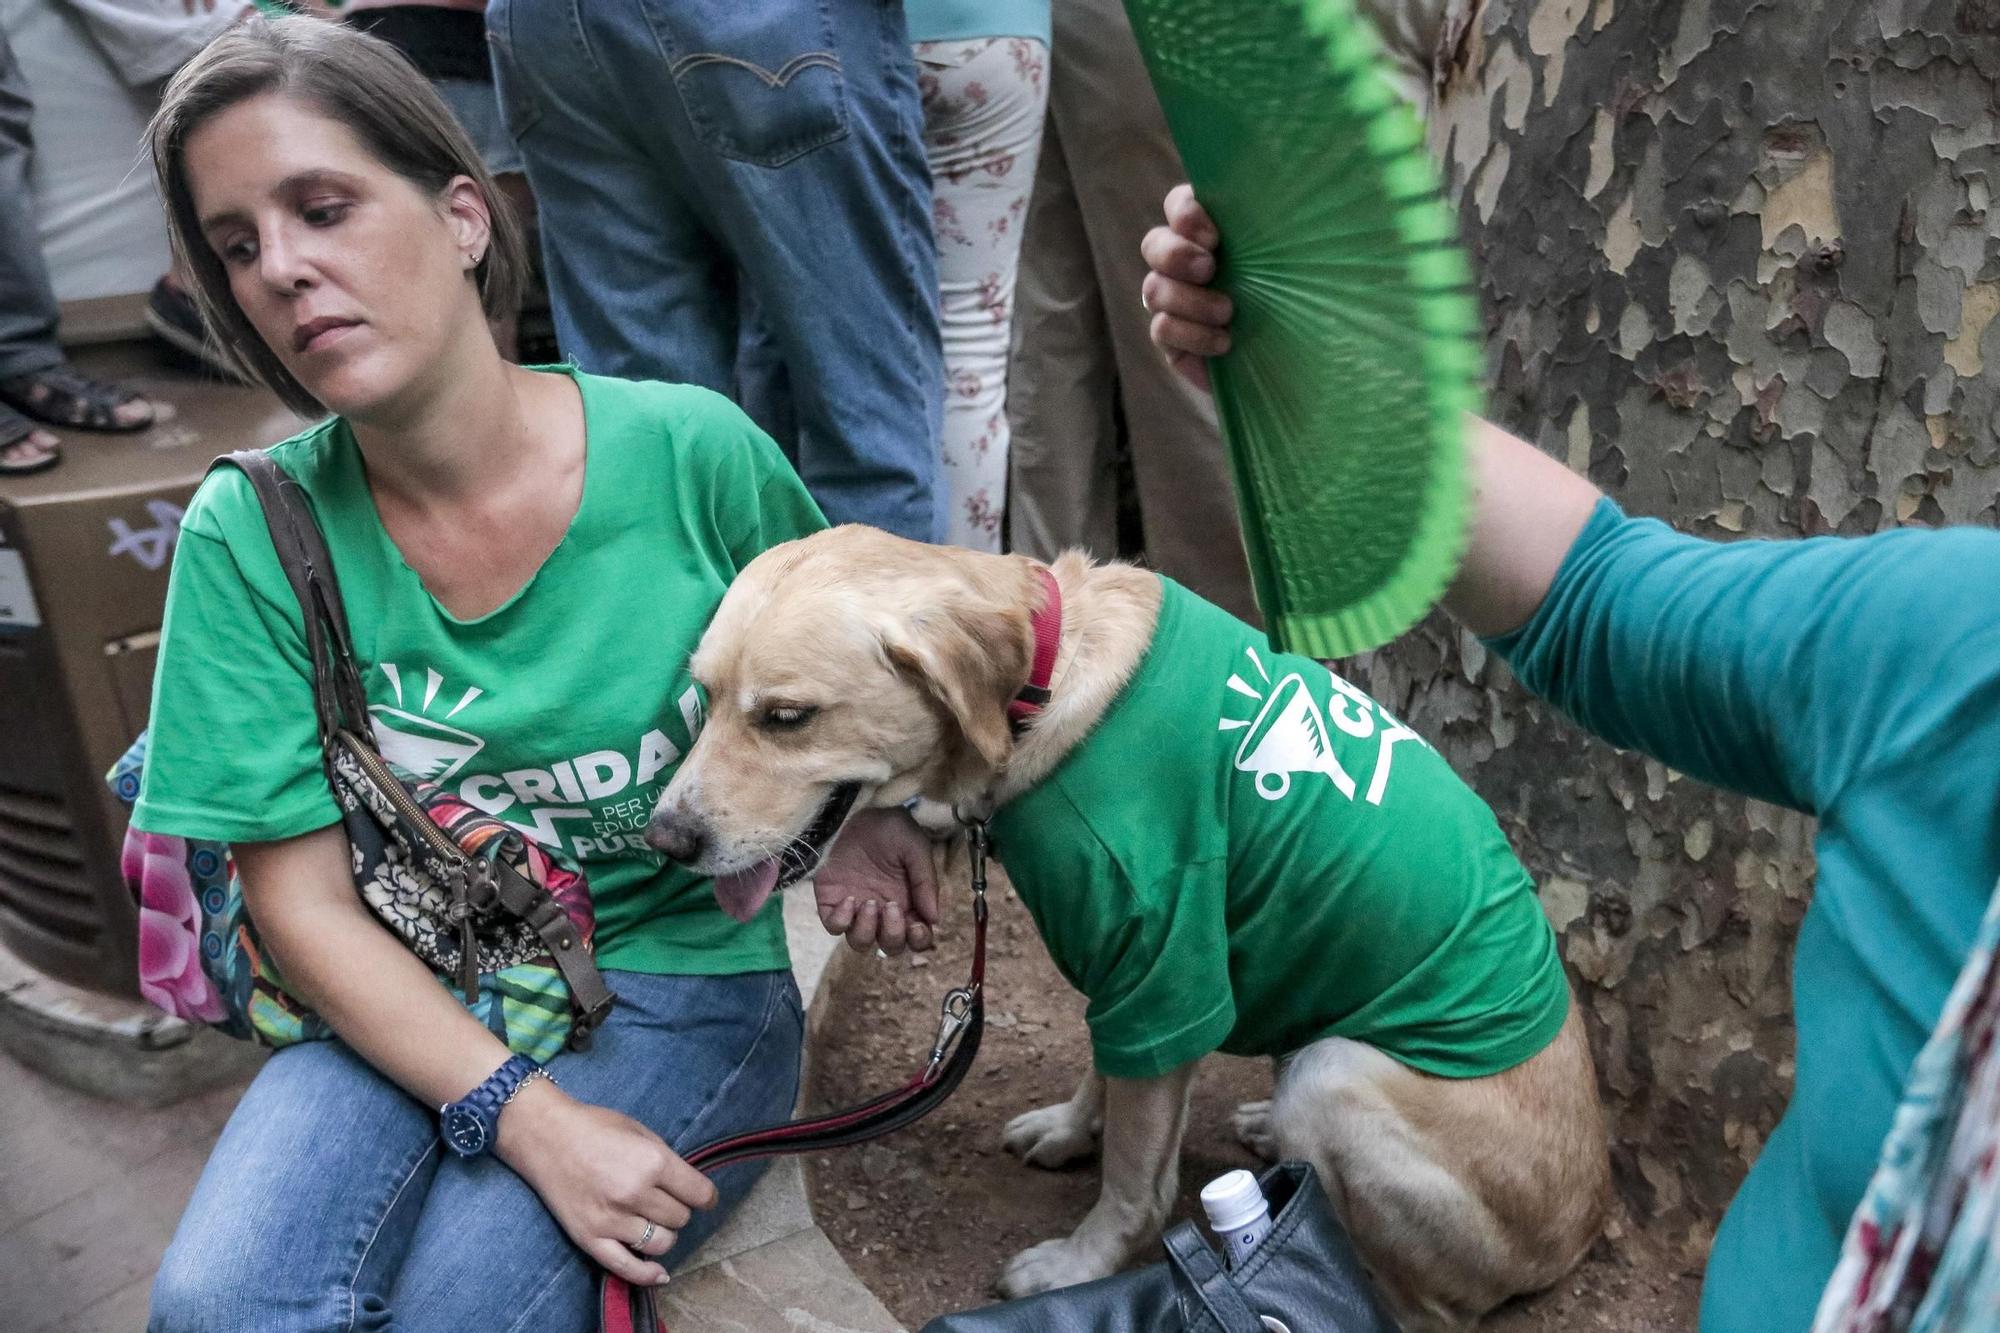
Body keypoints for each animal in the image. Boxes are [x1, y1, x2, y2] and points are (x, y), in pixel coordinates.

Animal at [648, 524, 1616, 1320]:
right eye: (703, 697)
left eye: (787, 716)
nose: (665, 837)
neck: (1040, 686)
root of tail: (1581, 1231)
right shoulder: (1126, 972)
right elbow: (1107, 1074)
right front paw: (1071, 1130)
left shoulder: (1163, 958)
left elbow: (1136, 1179)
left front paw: (1078, 1264)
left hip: (1337, 1075)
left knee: (1428, 1309)